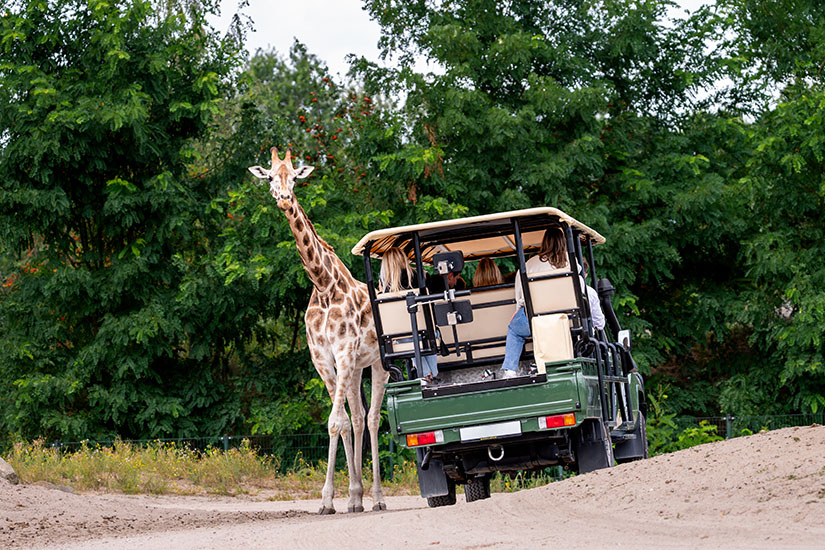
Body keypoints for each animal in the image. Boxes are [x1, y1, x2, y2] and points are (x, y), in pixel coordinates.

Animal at [249, 147, 388, 515]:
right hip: (356, 367)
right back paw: (357, 497)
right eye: (270, 176)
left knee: (372, 418)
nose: (284, 199)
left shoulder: (343, 351)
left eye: (296, 177)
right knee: (358, 416)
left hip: (377, 364)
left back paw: (378, 497)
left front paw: (328, 499)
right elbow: (341, 422)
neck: (323, 285)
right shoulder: (323, 357)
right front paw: (341, 498)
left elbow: (334, 421)